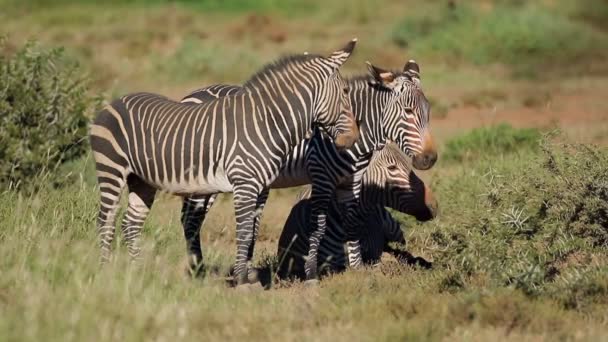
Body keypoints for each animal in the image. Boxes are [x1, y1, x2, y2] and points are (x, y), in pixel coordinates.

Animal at [87, 39, 358, 286]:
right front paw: (243, 282)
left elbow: (252, 231)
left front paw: (248, 278)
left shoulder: (260, 186)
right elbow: (245, 232)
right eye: (346, 92)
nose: (353, 138)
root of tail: (114, 102)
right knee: (106, 220)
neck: (267, 123)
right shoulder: (245, 184)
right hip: (111, 169)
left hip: (141, 179)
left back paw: (137, 273)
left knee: (130, 223)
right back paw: (105, 271)